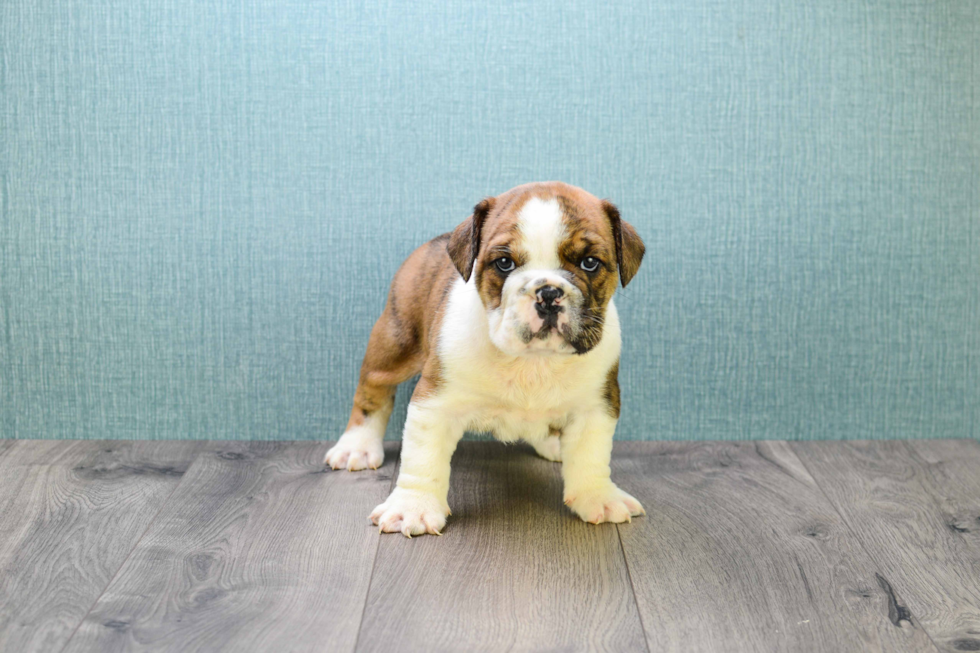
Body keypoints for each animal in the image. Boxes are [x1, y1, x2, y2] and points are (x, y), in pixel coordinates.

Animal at [326, 180, 648, 536]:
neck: (534, 361)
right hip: (395, 343)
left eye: (590, 262)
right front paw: (413, 507)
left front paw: (599, 496)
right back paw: (357, 445)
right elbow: (423, 459)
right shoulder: (435, 403)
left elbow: (592, 456)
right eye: (504, 263)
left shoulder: (596, 406)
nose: (548, 293)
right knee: (372, 390)